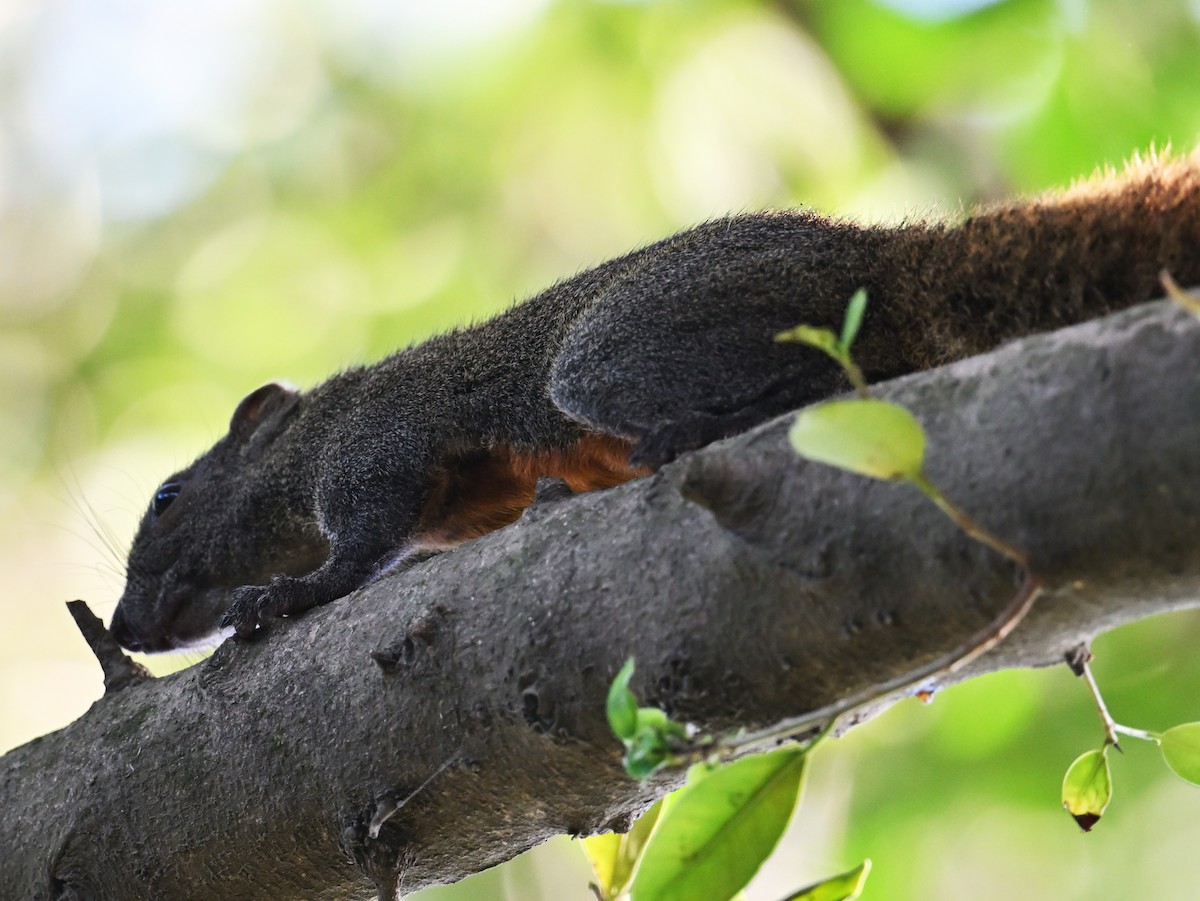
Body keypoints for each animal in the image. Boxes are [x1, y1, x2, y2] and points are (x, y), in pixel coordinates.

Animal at [109, 153, 1200, 653]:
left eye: (165, 499)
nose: (121, 629)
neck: (307, 449)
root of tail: (872, 258)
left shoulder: (374, 444)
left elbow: (361, 543)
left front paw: (286, 594)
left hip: (617, 350)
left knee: (803, 383)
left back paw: (689, 434)